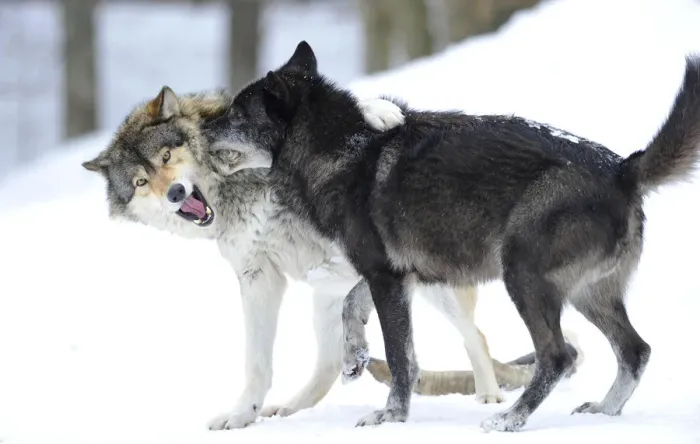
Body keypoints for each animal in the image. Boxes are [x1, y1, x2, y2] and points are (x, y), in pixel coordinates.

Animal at [80, 86, 558, 430]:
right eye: (141, 182)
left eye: (167, 156)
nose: (177, 194)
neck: (234, 191)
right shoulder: (258, 277)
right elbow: (257, 363)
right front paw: (242, 416)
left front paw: (381, 112)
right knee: (332, 360)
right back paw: (294, 405)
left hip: (439, 284)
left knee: (476, 335)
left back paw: (489, 395)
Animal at [202, 40, 700, 432]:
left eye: (237, 113)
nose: (203, 126)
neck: (343, 150)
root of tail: (622, 169)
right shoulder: (396, 275)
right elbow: (351, 307)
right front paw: (355, 355)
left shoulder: (385, 277)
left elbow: (400, 358)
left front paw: (391, 417)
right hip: (587, 295)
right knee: (635, 351)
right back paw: (604, 412)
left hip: (524, 279)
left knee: (558, 355)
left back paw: (510, 419)